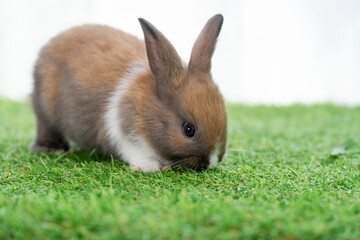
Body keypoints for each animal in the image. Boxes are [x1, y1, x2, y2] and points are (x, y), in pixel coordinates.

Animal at [31, 14, 228, 172]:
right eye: (188, 130)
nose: (210, 162)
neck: (147, 109)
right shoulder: (121, 134)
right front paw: (148, 167)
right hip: (44, 108)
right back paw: (53, 148)